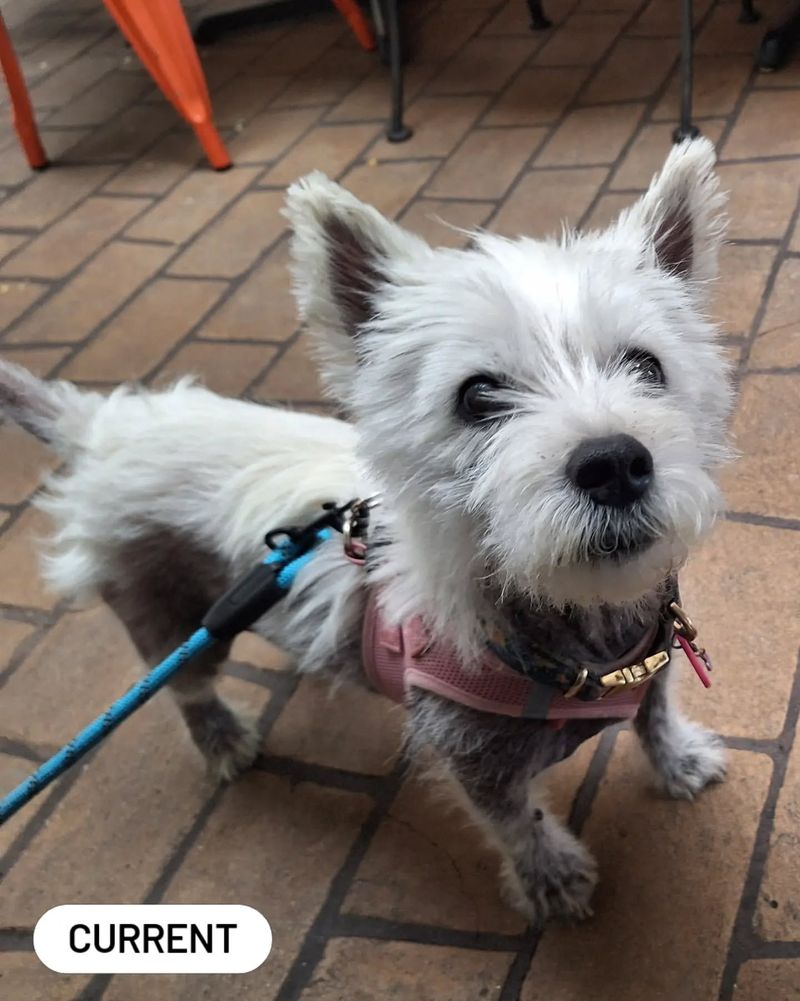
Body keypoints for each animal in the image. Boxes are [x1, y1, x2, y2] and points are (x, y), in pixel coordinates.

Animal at [0, 139, 732, 920]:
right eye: (477, 396)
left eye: (647, 367)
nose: (614, 463)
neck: (579, 634)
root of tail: (98, 427)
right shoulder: (475, 760)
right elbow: (517, 820)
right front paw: (552, 878)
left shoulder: (652, 665)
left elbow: (656, 714)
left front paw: (681, 761)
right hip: (166, 613)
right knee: (186, 687)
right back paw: (223, 739)